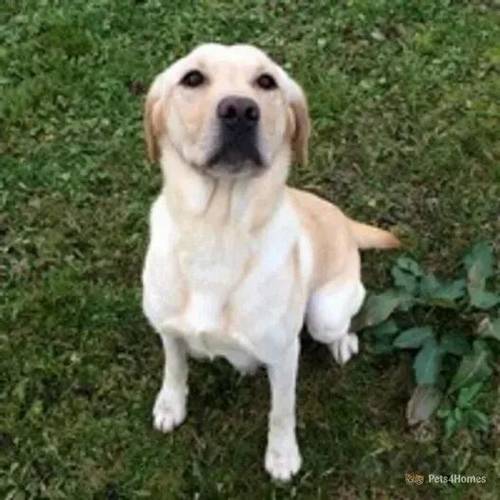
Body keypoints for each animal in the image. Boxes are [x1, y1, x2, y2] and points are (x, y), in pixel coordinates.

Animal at [142, 43, 398, 480]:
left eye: (266, 82)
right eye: (192, 78)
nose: (239, 110)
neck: (217, 234)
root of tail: (345, 221)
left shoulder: (283, 354)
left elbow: (281, 412)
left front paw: (282, 456)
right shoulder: (168, 330)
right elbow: (174, 367)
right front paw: (170, 405)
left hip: (324, 313)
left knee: (342, 324)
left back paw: (343, 343)